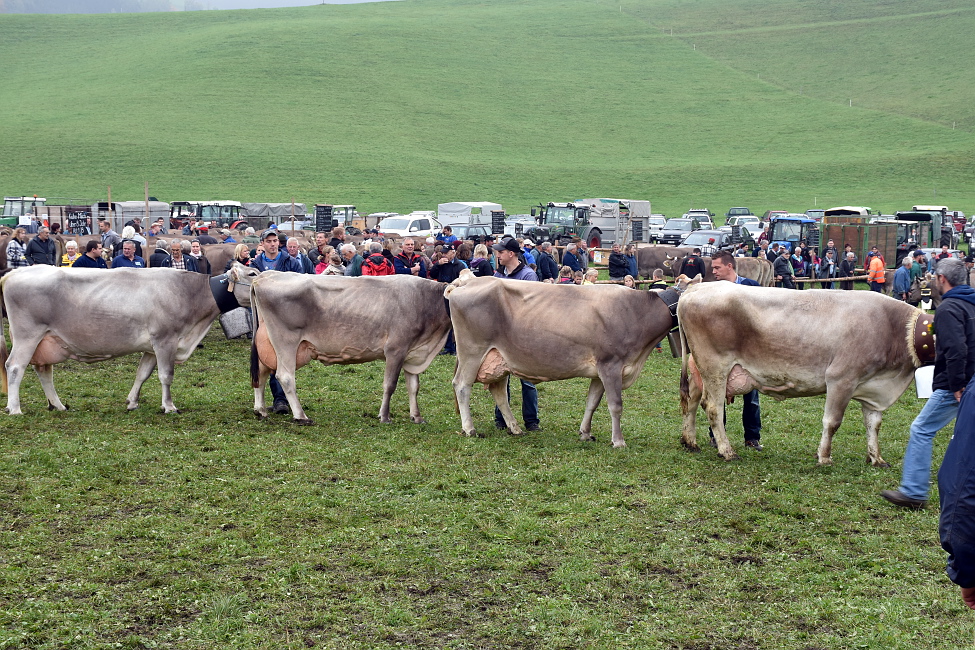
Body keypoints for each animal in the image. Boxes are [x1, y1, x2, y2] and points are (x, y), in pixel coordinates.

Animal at [227, 260, 452, 422]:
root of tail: (265, 276)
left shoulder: (413, 352)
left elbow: (414, 386)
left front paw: (416, 416)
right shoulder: (396, 349)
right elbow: (390, 385)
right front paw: (384, 416)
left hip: (267, 342)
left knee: (261, 373)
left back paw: (260, 410)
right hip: (285, 341)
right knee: (285, 376)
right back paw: (301, 416)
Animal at [446, 270, 696, 446]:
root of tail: (469, 280)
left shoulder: (599, 371)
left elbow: (592, 403)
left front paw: (585, 433)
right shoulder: (611, 364)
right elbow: (615, 405)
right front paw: (618, 441)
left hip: (499, 359)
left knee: (498, 392)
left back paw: (515, 428)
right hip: (472, 351)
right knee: (462, 385)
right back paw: (469, 429)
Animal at [680, 280, 932, 464]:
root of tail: (695, 288)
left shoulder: (874, 387)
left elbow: (874, 424)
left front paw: (876, 458)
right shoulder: (841, 378)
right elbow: (832, 422)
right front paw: (824, 457)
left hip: (699, 369)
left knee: (690, 401)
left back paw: (690, 442)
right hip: (715, 367)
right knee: (713, 407)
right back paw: (726, 451)